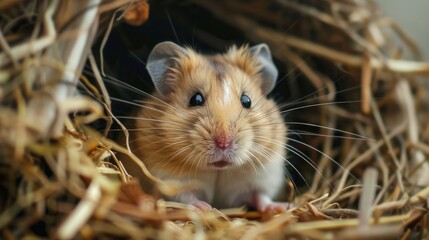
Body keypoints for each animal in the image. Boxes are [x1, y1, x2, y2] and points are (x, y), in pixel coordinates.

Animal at [127, 41, 288, 212]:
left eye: (247, 100)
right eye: (195, 99)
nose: (224, 142)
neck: (219, 170)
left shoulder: (265, 174)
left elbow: (260, 196)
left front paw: (282, 207)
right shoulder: (168, 178)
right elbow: (185, 197)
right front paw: (207, 208)